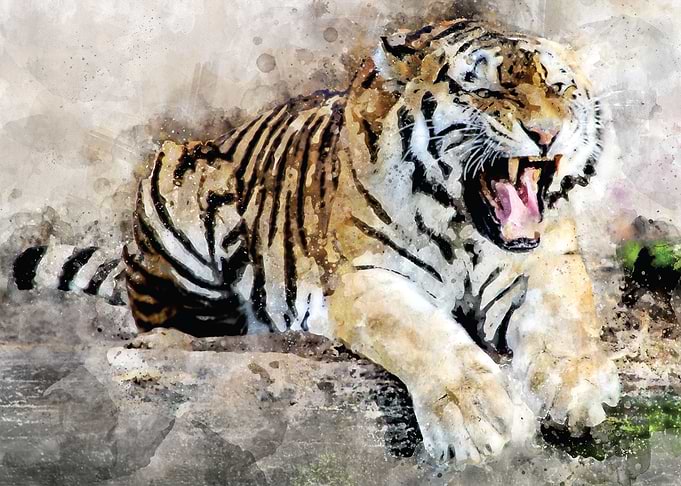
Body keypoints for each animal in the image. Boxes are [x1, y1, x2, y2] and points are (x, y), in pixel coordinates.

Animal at [10, 18, 621, 464]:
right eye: (488, 86)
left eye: (559, 86)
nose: (548, 133)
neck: (465, 226)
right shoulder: (367, 280)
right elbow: (429, 338)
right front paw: (481, 419)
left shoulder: (547, 258)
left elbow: (567, 315)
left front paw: (578, 387)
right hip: (175, 178)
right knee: (171, 318)